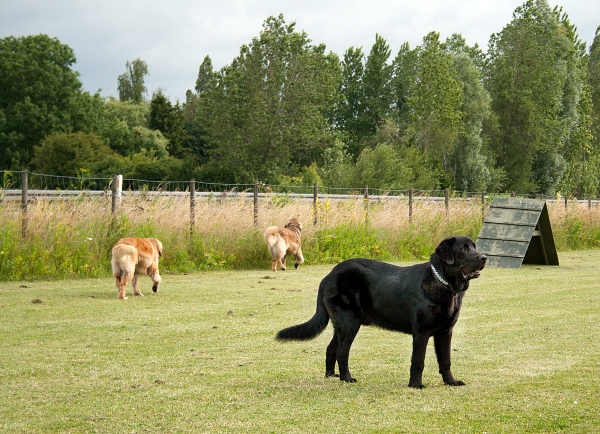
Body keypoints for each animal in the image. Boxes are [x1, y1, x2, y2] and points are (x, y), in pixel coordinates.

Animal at [276, 236, 488, 388]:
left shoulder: (445, 332)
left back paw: (331, 375)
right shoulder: (421, 332)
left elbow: (446, 361)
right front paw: (415, 385)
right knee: (342, 351)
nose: (484, 258)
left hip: (341, 324)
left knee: (331, 348)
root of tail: (328, 276)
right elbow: (418, 360)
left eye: (474, 246)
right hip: (351, 322)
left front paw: (451, 382)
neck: (443, 284)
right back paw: (347, 378)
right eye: (463, 249)